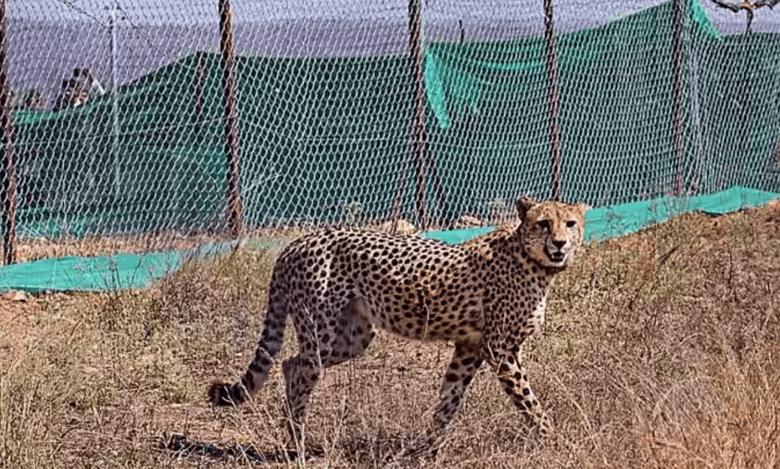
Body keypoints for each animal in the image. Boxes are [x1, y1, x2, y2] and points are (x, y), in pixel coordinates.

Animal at [209, 195, 589, 446]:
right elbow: (528, 400)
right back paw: (296, 445)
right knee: (303, 370)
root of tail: (298, 242)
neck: (533, 260)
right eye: (543, 223)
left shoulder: (469, 347)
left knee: (290, 364)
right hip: (323, 330)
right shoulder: (500, 350)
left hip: (354, 337)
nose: (559, 243)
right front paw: (554, 439)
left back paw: (295, 435)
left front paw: (429, 446)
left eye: (570, 223)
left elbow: (449, 399)